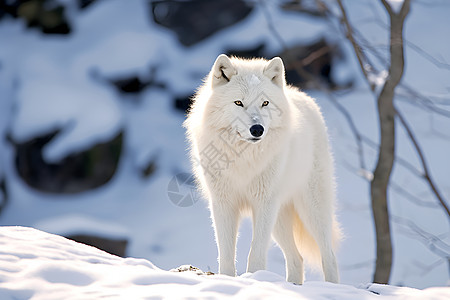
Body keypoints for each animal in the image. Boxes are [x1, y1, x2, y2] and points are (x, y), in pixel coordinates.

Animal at [185, 54, 340, 286]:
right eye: (238, 102)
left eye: (265, 103)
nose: (257, 129)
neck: (243, 159)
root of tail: (304, 97)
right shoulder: (223, 203)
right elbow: (226, 254)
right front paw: (227, 280)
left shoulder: (264, 203)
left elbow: (256, 254)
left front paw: (254, 280)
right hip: (280, 221)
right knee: (297, 258)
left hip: (311, 210)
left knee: (329, 255)